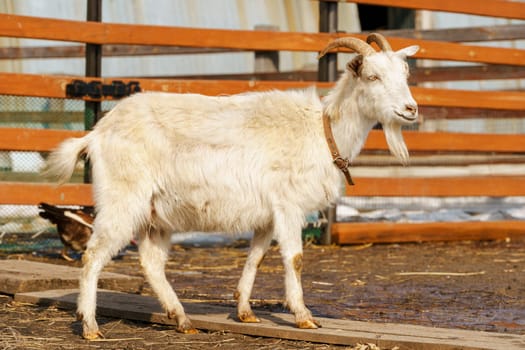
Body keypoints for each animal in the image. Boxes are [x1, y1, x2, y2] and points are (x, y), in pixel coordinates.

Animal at [45, 33, 418, 340]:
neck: (323, 131)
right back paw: (90, 326)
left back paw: (182, 319)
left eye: (405, 76)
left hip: (155, 212)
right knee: (93, 255)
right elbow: (295, 258)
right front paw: (304, 316)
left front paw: (245, 312)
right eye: (372, 76)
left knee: (151, 262)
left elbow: (256, 257)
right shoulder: (288, 205)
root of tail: (96, 134)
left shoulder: (267, 214)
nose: (411, 109)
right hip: (122, 199)